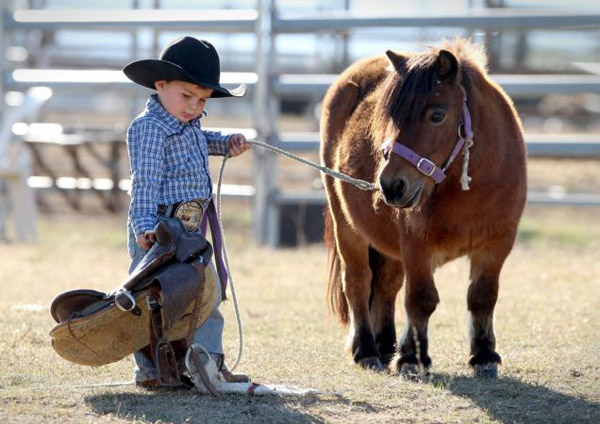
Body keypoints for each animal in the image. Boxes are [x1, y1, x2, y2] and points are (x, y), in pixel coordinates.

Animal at [318, 39, 524, 378]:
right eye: (390, 117)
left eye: (437, 115)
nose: (391, 184)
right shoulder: (417, 245)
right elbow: (421, 299)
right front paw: (413, 358)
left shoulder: (498, 243)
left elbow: (482, 297)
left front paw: (484, 355)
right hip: (346, 226)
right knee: (358, 282)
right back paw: (367, 350)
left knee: (386, 286)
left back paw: (386, 344)